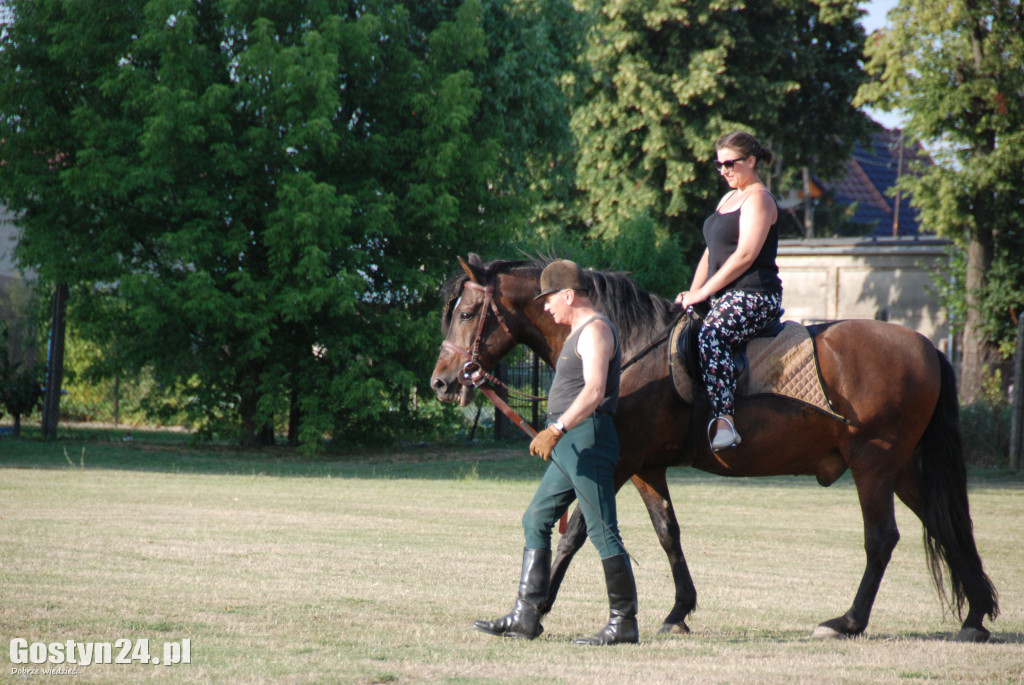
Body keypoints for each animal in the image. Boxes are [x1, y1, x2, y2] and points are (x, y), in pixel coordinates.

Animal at [432, 252, 999, 643]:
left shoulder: (615, 463)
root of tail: (926, 346)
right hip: (901, 469)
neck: (632, 348)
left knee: (882, 539)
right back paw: (974, 616)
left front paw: (539, 607)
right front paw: (678, 611)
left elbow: (575, 533)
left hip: (873, 465)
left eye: (468, 311)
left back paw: (848, 621)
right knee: (947, 526)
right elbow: (668, 533)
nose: (441, 382)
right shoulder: (645, 467)